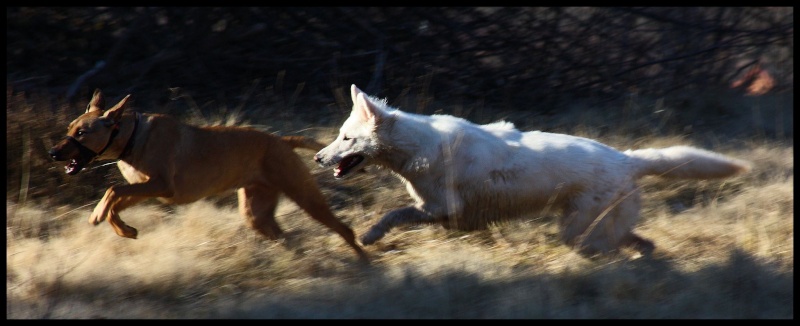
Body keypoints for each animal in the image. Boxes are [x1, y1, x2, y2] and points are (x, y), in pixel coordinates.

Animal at [47, 89, 366, 262]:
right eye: (70, 128)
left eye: (82, 133)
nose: (52, 152)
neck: (131, 136)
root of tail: (282, 141)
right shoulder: (144, 187)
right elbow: (116, 201)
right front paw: (125, 230)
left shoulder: (162, 185)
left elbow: (112, 191)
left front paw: (97, 215)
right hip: (255, 212)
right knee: (286, 238)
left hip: (304, 194)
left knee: (344, 229)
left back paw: (364, 265)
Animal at [314, 84, 752, 255]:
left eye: (347, 138)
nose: (317, 159)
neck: (417, 146)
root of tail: (626, 158)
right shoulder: (445, 214)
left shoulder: (442, 209)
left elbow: (393, 214)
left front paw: (369, 236)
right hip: (592, 226)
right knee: (638, 242)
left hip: (579, 230)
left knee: (609, 246)